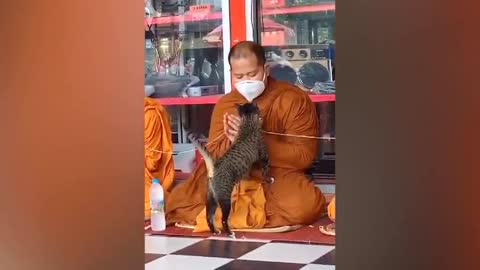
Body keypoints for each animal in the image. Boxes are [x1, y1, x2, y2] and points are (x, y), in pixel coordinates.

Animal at [187, 102, 272, 237]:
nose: (260, 110)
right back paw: (230, 233)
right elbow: (265, 170)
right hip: (225, 198)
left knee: (209, 216)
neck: (247, 122)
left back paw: (215, 231)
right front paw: (269, 179)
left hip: (212, 197)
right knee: (223, 219)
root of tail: (215, 166)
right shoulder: (263, 155)